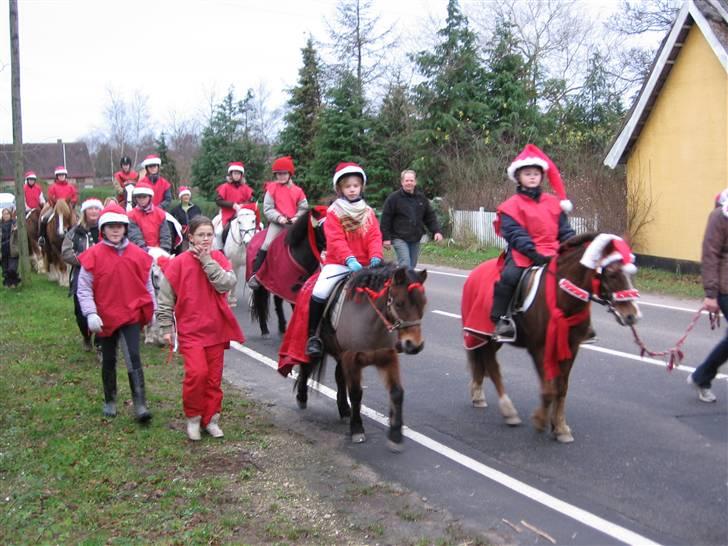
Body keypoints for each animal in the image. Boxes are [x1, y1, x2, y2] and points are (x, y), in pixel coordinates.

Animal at [292, 262, 426, 448]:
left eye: (424, 303)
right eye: (399, 303)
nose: (414, 346)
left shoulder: (388, 357)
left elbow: (397, 392)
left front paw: (395, 434)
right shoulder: (352, 358)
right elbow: (356, 393)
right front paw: (357, 429)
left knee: (339, 378)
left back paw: (344, 409)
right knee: (307, 366)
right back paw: (302, 397)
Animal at [464, 233, 640, 442]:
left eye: (632, 273)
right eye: (612, 273)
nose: (632, 316)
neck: (562, 295)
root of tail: (476, 271)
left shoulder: (571, 347)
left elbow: (561, 388)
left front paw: (560, 426)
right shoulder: (539, 348)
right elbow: (549, 389)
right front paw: (541, 420)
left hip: (490, 339)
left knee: (484, 362)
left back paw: (479, 395)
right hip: (484, 335)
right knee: (492, 366)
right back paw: (508, 410)